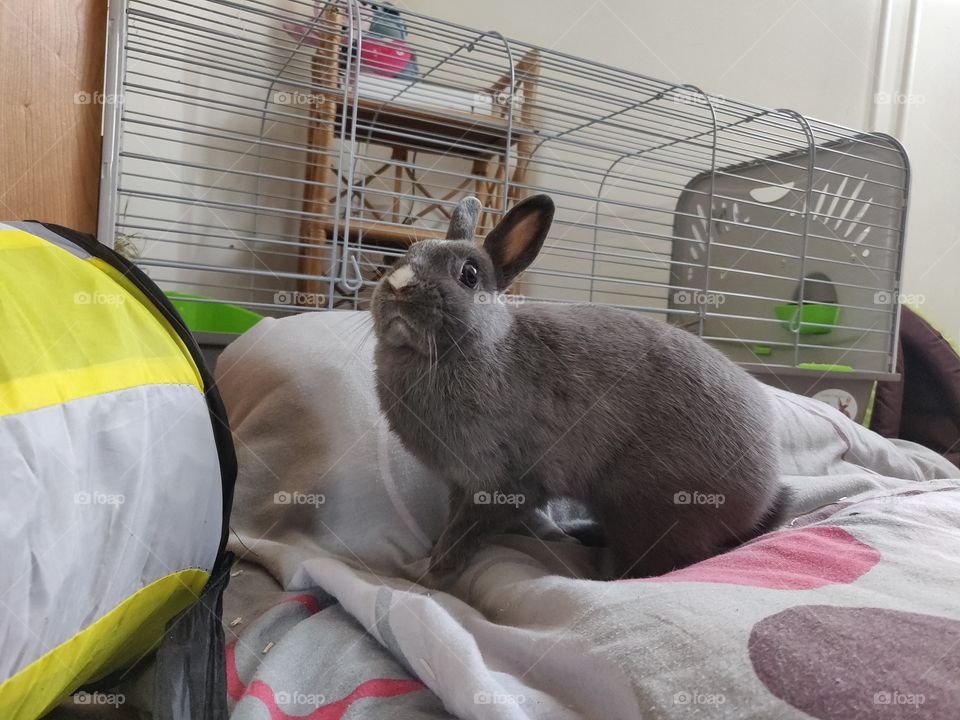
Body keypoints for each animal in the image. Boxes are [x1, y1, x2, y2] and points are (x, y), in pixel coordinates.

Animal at [371, 194, 789, 580]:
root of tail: (765, 495)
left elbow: (467, 528)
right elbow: (454, 517)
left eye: (469, 275)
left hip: (645, 509)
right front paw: (432, 552)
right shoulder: (459, 482)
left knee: (667, 561)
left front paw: (437, 568)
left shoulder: (505, 483)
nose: (398, 286)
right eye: (405, 256)